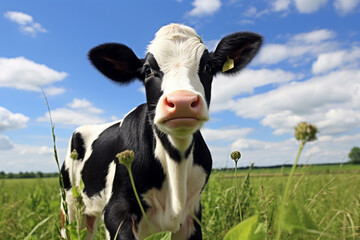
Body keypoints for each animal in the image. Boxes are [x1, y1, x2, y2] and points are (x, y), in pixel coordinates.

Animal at [59, 23, 262, 240]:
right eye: (148, 70)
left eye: (207, 66)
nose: (182, 102)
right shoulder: (115, 212)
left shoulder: (192, 216)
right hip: (70, 205)